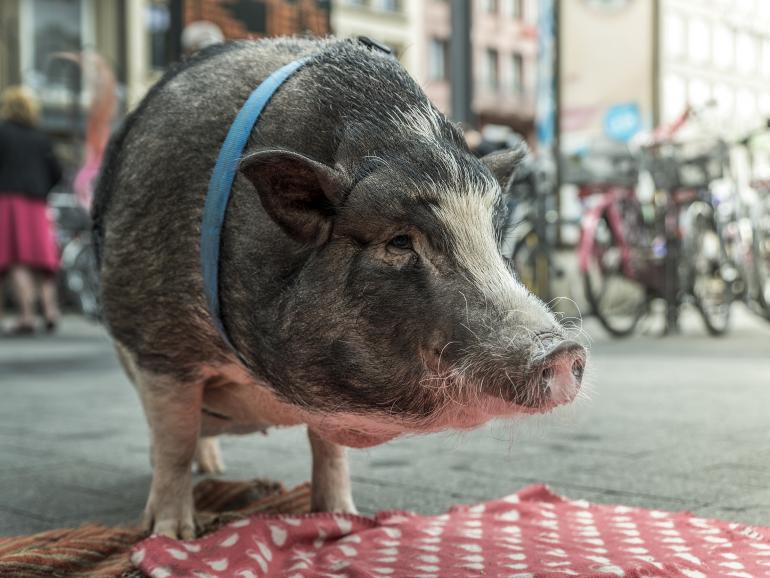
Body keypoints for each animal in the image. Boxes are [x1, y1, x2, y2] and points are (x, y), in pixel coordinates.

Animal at [93, 38, 584, 536]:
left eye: (497, 236)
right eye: (399, 241)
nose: (562, 350)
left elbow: (329, 449)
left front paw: (342, 518)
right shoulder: (157, 340)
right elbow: (174, 438)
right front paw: (171, 535)